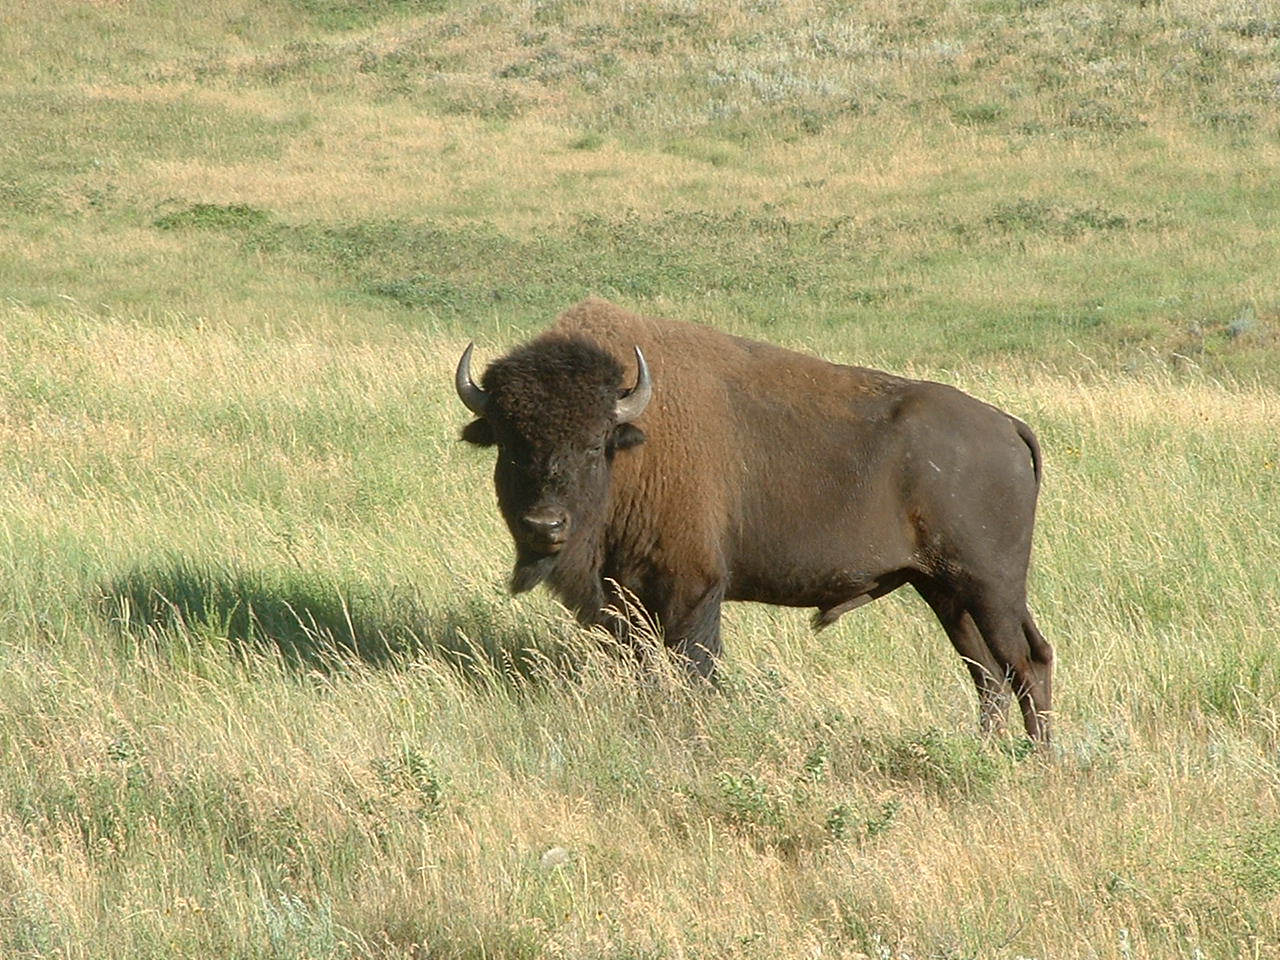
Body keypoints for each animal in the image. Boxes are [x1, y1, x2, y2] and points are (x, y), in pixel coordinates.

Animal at [456, 298, 1054, 743]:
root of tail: (1006, 426)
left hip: (989, 586)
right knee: (991, 673)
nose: (545, 525)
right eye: (509, 442)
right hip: (945, 591)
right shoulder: (624, 602)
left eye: (593, 442)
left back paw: (1038, 763)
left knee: (1025, 663)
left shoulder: (692, 589)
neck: (637, 441)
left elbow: (692, 671)